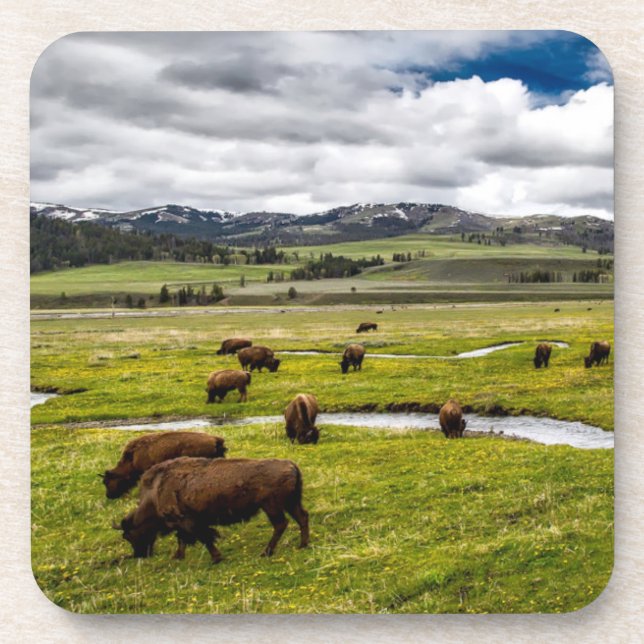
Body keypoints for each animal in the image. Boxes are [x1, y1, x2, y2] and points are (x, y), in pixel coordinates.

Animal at [114, 457, 310, 561]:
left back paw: (266, 552)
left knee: (280, 524)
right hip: (290, 503)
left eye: (128, 535)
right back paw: (302, 545)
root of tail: (291, 465)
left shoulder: (188, 522)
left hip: (272, 506)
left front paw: (216, 558)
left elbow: (204, 537)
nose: (140, 555)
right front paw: (178, 556)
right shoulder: (185, 524)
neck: (156, 491)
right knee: (302, 517)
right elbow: (183, 539)